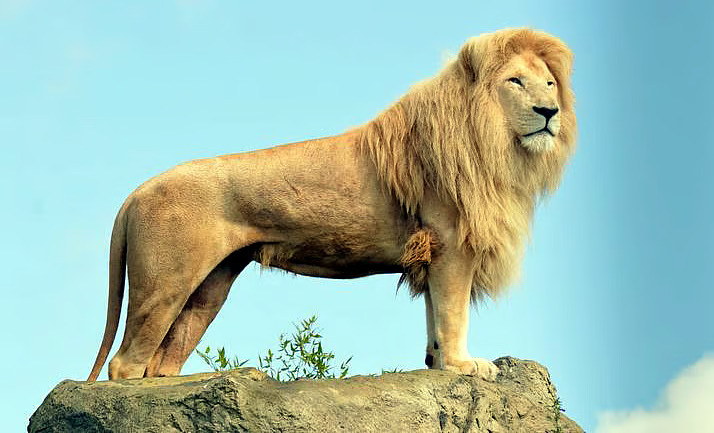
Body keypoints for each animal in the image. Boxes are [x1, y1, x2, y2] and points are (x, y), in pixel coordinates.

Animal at [88, 28, 576, 382]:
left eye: (550, 84)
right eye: (516, 81)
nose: (549, 111)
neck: (497, 145)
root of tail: (136, 191)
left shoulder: (433, 252)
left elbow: (435, 317)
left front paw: (438, 363)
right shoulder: (452, 243)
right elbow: (453, 312)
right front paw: (464, 365)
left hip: (210, 285)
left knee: (162, 360)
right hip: (166, 281)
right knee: (126, 363)